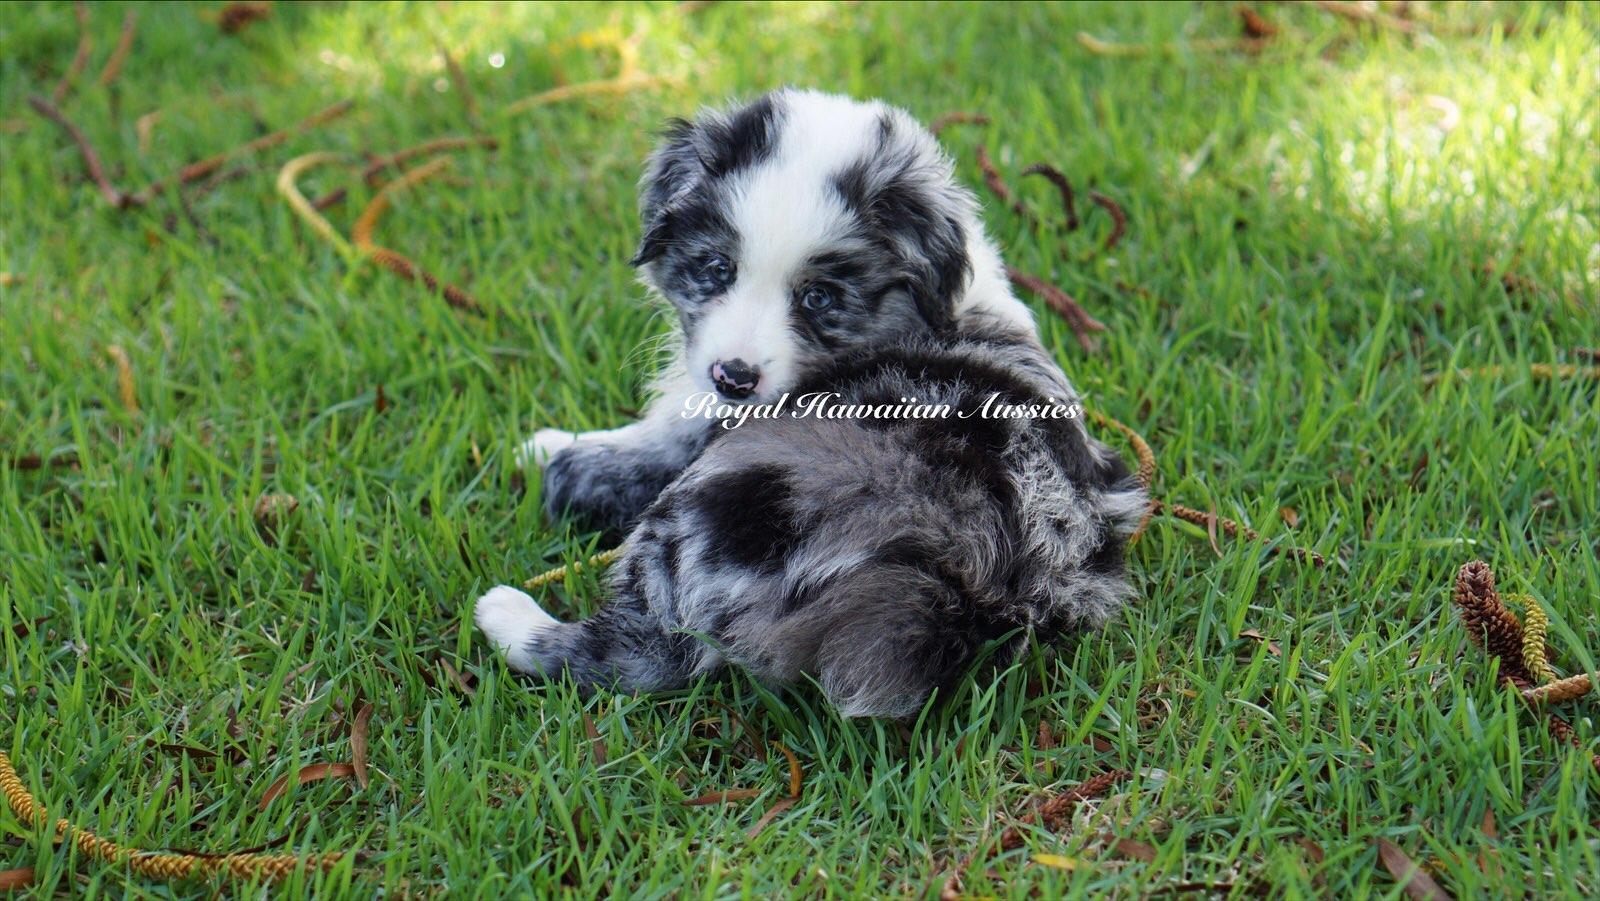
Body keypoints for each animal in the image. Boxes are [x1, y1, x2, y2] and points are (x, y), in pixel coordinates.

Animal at [475, 89, 1144, 717]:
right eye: (715, 269)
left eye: (819, 298)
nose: (734, 377)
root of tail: (959, 590)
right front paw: (548, 442)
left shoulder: (713, 435)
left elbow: (646, 448)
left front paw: (556, 455)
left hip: (724, 497)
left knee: (643, 653)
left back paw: (508, 615)